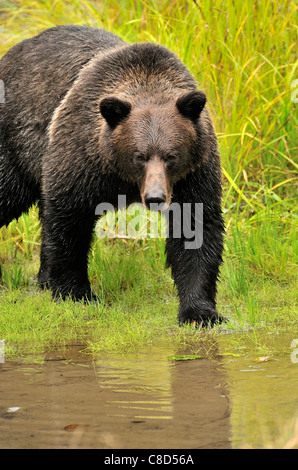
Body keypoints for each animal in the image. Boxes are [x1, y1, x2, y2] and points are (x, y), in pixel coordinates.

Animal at [0, 25, 224, 326]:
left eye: (171, 156)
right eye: (140, 155)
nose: (155, 197)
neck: (122, 178)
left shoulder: (193, 174)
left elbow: (195, 227)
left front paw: (200, 312)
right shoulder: (81, 156)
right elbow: (69, 221)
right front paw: (77, 293)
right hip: (17, 142)